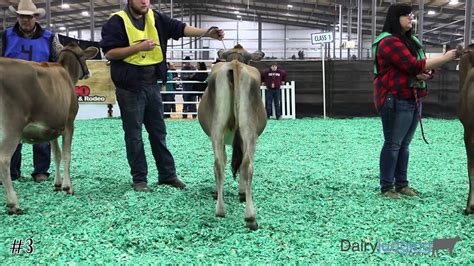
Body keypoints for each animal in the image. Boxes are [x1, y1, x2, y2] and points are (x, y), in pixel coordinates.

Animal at [0, 43, 98, 214]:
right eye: (84, 56)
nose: (89, 72)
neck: (66, 71)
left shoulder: (52, 129)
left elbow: (56, 155)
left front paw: (57, 184)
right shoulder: (69, 123)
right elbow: (66, 155)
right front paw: (68, 187)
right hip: (12, 127)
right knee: (4, 159)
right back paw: (13, 203)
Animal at [197, 44, 266, 230]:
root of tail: (235, 64)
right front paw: (242, 192)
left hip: (218, 129)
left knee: (219, 163)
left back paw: (220, 210)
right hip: (250, 131)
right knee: (246, 165)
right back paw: (250, 217)